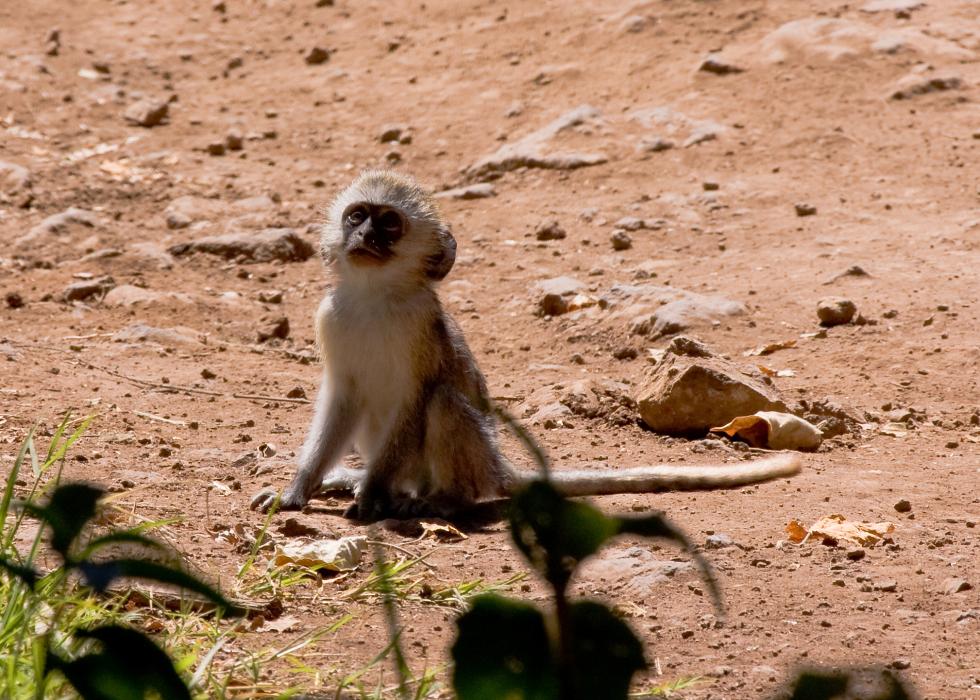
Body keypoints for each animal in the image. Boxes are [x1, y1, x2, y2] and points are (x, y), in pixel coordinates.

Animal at [249, 170, 800, 520]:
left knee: (445, 404)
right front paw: (301, 487)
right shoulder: (330, 320)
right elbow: (342, 399)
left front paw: (368, 495)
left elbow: (415, 399)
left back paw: (441, 500)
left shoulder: (421, 327)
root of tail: (495, 469)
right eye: (356, 216)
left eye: (388, 224)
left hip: (464, 464)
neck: (375, 298)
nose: (363, 236)